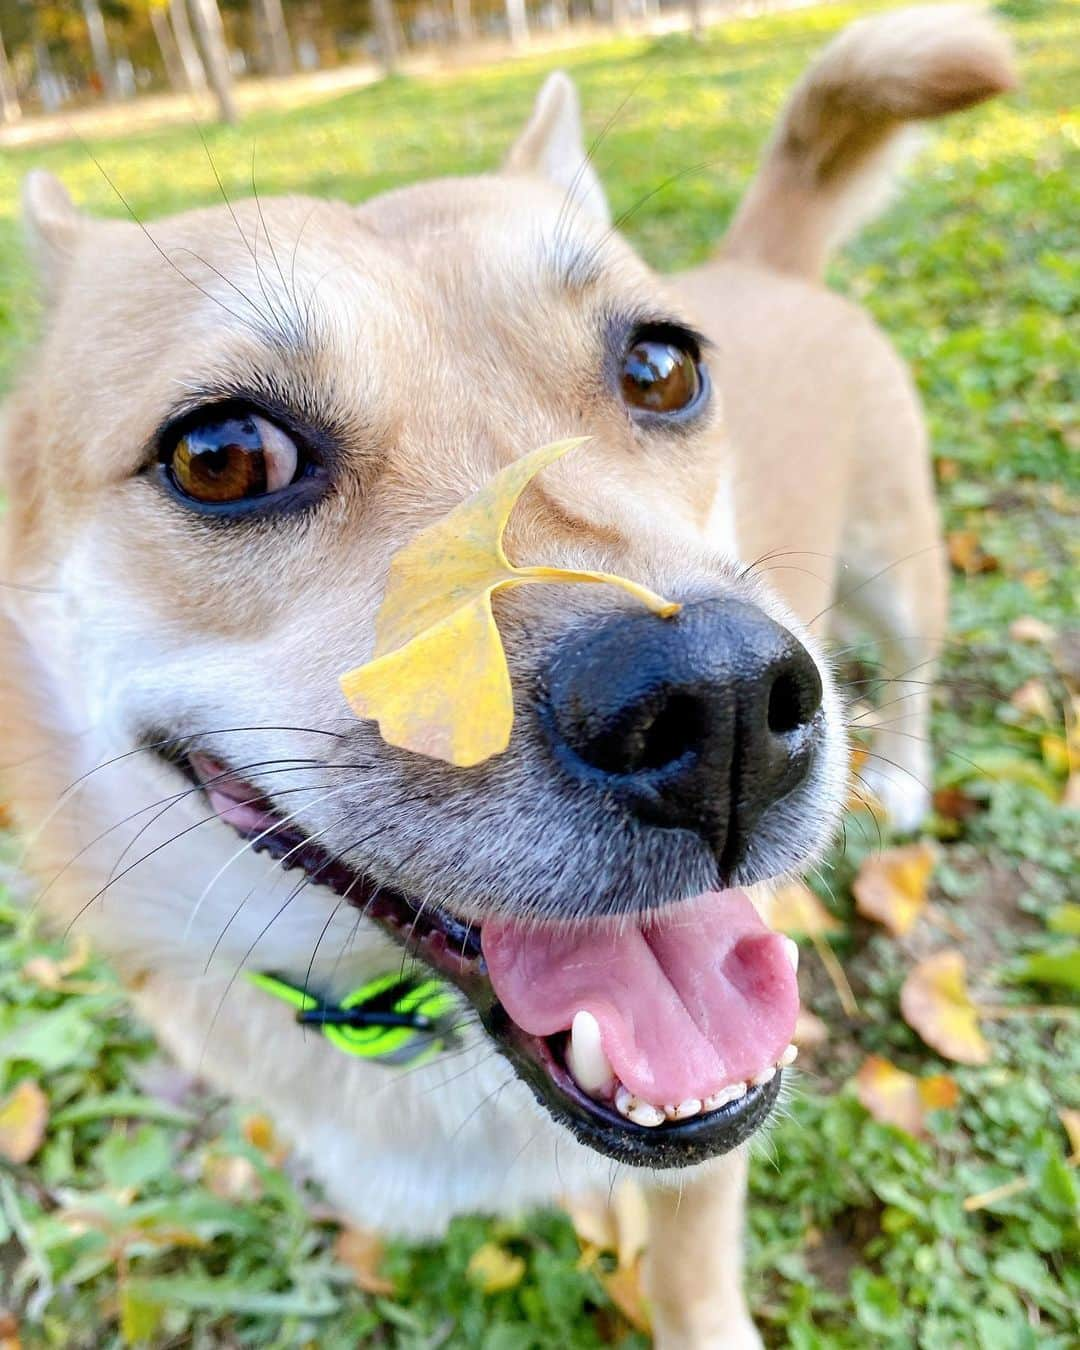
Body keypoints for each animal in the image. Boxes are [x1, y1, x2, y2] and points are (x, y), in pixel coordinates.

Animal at [0, 7, 1015, 1339]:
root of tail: (765, 266)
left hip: (903, 572)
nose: (726, 707)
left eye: (659, 369)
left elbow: (690, 1277)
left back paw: (900, 773)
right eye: (220, 455)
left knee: (913, 664)